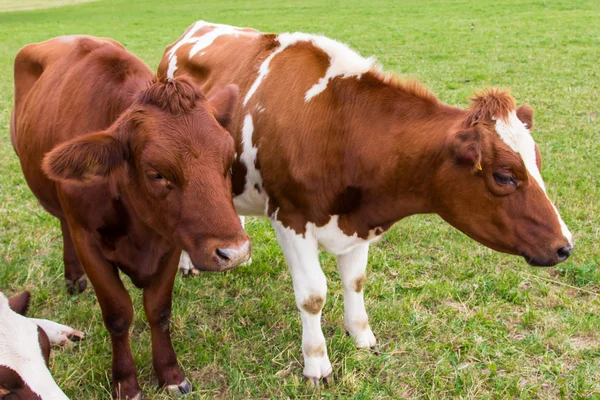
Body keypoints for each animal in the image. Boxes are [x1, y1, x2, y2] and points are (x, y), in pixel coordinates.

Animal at [11, 36, 251, 398]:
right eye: (156, 173)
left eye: (227, 161)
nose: (234, 252)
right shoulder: (88, 241)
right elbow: (118, 313)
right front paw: (126, 381)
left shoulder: (171, 239)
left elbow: (159, 309)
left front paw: (170, 373)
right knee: (63, 223)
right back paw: (73, 276)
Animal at [159, 21, 576, 382]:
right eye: (504, 176)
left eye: (538, 163)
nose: (565, 246)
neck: (335, 124)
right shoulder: (290, 217)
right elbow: (313, 295)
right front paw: (317, 364)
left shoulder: (360, 220)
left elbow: (355, 280)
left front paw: (361, 337)